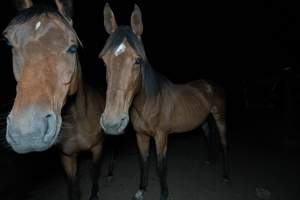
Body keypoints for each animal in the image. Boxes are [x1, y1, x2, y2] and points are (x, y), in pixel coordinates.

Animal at [2, 0, 104, 199]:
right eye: (9, 44)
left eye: (73, 48)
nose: (28, 133)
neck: (77, 120)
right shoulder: (67, 157)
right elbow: (73, 187)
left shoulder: (97, 149)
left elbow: (95, 175)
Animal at [99, 3, 230, 200]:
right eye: (104, 61)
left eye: (138, 60)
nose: (111, 123)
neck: (148, 103)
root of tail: (211, 84)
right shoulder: (141, 135)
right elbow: (143, 161)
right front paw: (141, 189)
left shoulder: (161, 136)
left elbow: (161, 166)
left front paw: (164, 194)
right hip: (203, 120)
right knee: (208, 135)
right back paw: (209, 160)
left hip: (220, 117)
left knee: (223, 143)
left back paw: (225, 176)